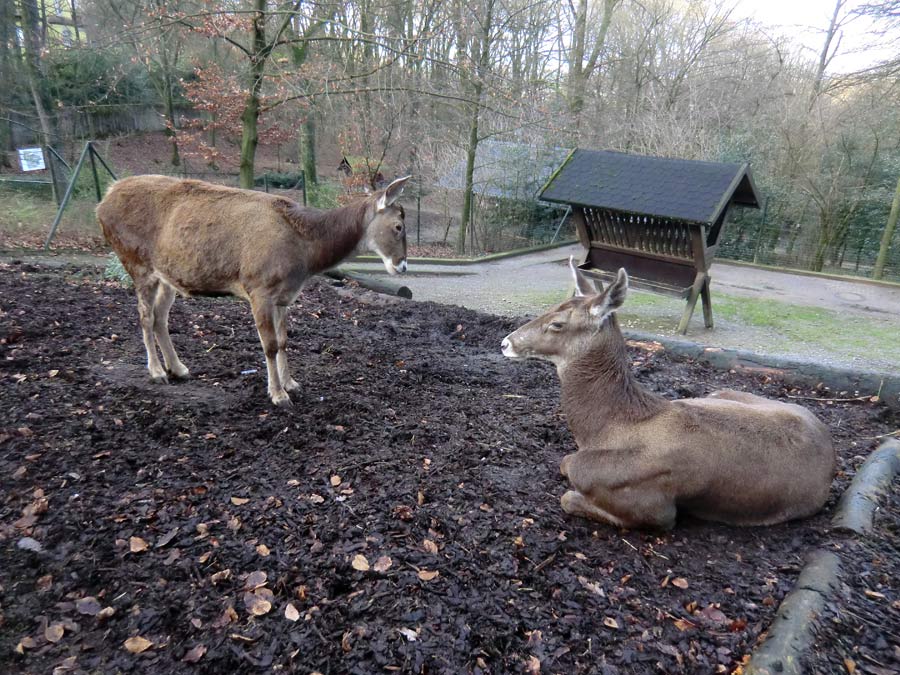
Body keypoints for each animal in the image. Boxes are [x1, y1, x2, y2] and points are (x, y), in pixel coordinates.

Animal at [96, 174, 410, 406]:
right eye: (398, 226)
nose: (402, 266)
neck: (304, 255)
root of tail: (102, 202)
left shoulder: (284, 296)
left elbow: (283, 341)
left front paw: (291, 383)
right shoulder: (258, 287)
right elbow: (269, 345)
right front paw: (278, 395)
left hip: (167, 275)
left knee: (161, 317)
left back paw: (179, 369)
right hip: (136, 262)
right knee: (145, 317)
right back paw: (156, 372)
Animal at [500, 258, 836, 528]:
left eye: (557, 323)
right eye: (551, 307)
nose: (506, 342)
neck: (603, 430)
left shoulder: (652, 504)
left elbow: (569, 489)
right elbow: (564, 462)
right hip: (721, 392)